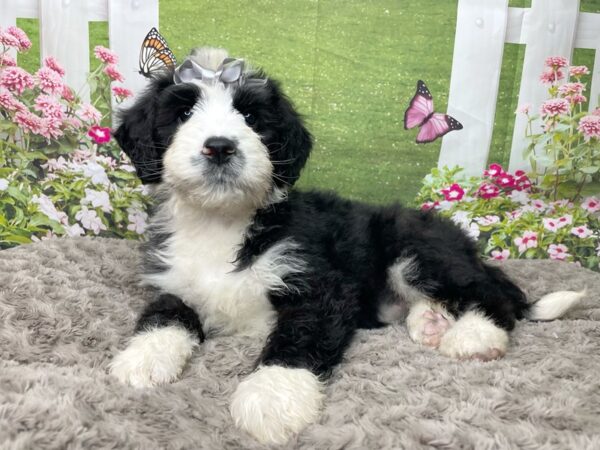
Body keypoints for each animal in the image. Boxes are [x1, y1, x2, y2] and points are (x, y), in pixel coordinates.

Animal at [110, 48, 584, 442]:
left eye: (251, 116)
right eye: (184, 112)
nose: (220, 147)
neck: (221, 221)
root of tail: (466, 247)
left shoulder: (323, 284)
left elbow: (298, 339)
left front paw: (271, 398)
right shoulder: (173, 280)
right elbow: (165, 314)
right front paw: (142, 359)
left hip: (415, 248)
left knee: (490, 292)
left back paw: (474, 336)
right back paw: (431, 321)